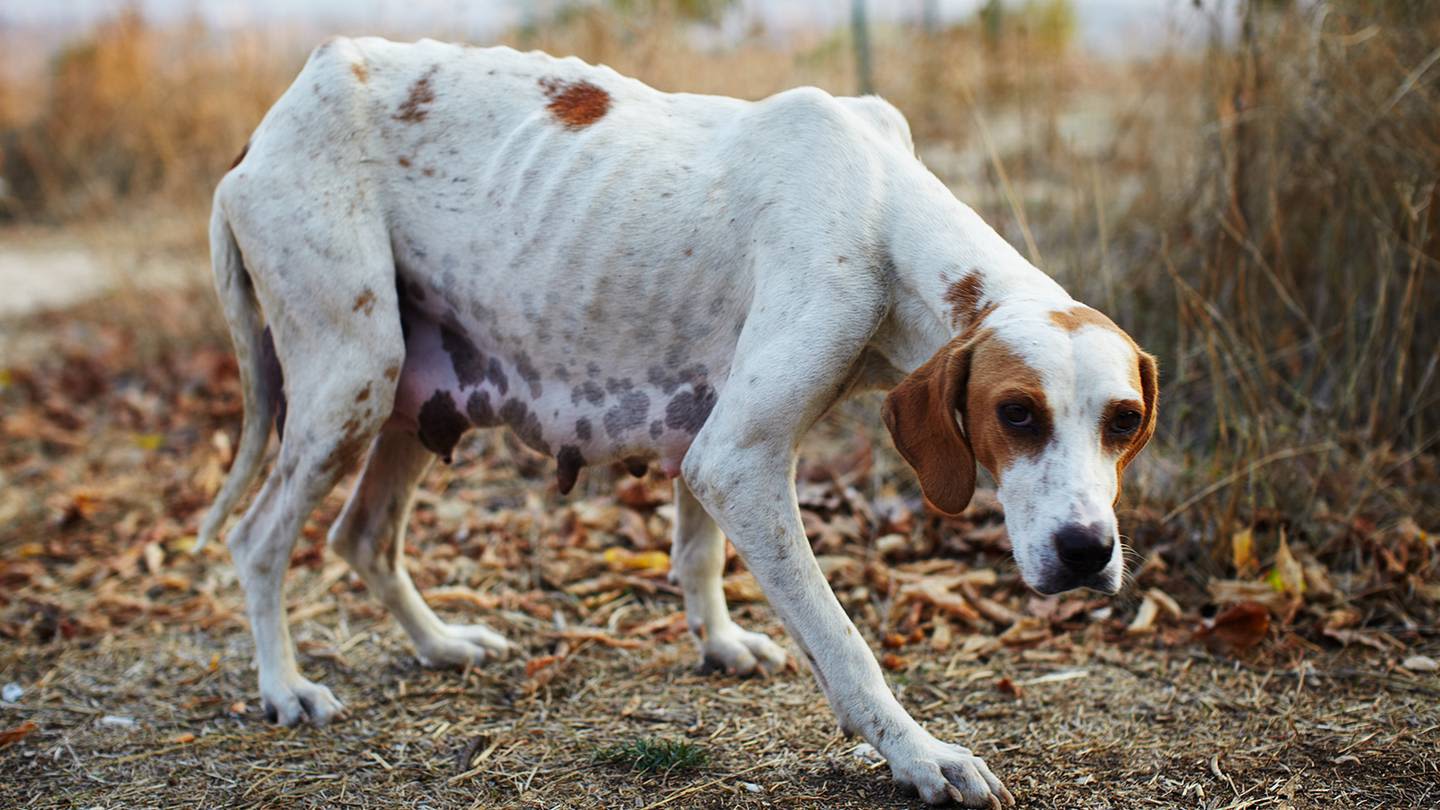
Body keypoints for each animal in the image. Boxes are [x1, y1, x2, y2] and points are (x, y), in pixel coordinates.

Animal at [200, 36, 1157, 801]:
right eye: (1017, 414)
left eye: (1124, 422)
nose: (1086, 552)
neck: (883, 209)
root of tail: (272, 122)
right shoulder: (739, 457)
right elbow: (845, 644)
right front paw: (921, 757)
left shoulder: (711, 434)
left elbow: (698, 556)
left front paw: (720, 644)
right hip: (353, 378)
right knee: (257, 541)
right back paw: (284, 688)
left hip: (407, 394)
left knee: (361, 536)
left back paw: (440, 644)